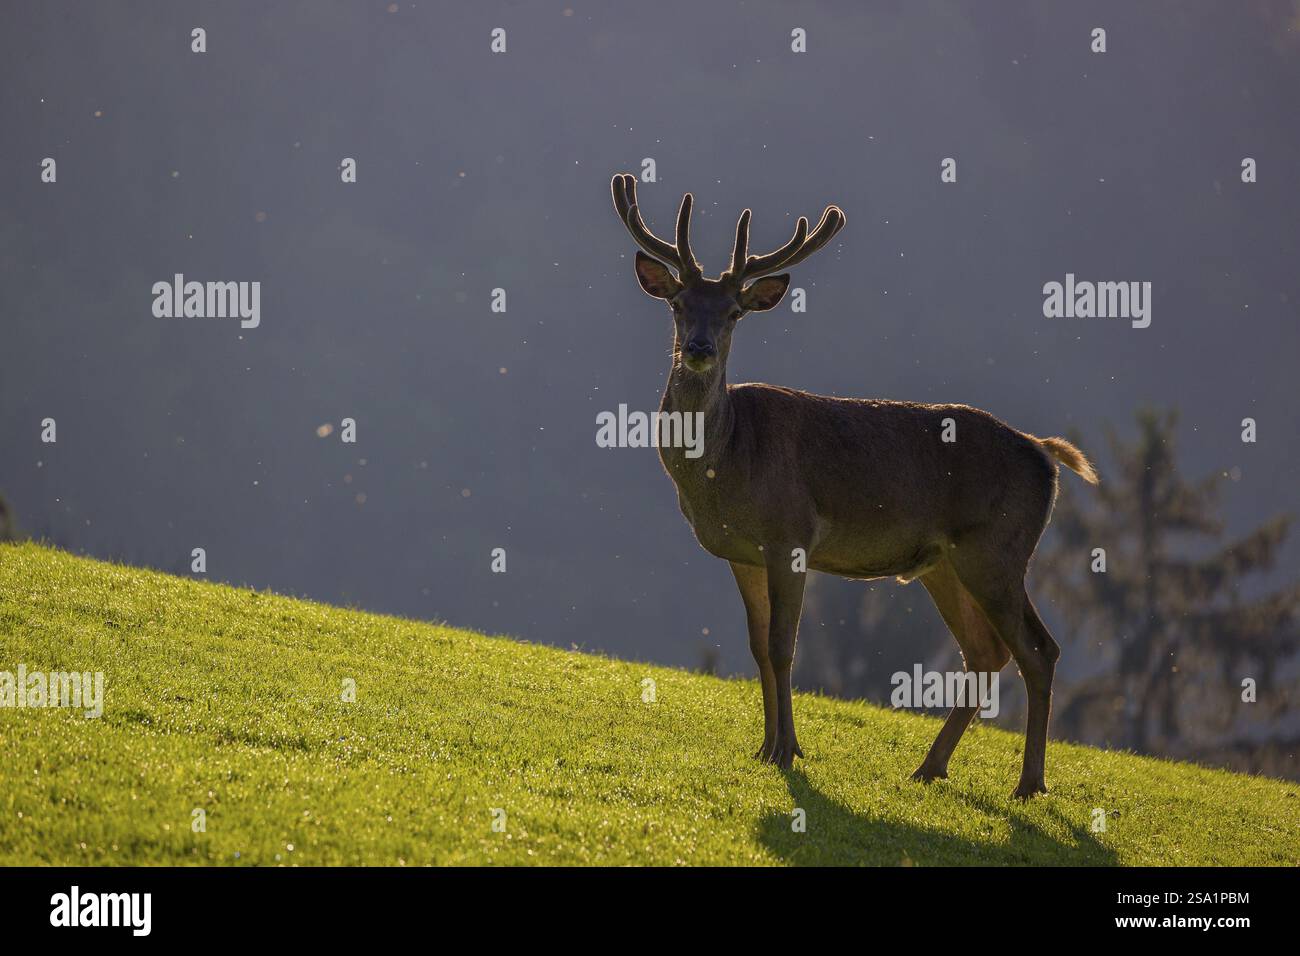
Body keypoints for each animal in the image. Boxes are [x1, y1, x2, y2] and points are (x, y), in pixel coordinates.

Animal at [610, 173, 1099, 799]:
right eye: (678, 304)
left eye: (735, 312)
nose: (698, 348)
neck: (728, 462)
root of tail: (1046, 455)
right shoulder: (742, 553)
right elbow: (757, 648)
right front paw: (763, 748)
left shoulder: (790, 534)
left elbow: (782, 646)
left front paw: (789, 750)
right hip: (946, 562)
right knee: (986, 653)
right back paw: (929, 767)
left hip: (999, 548)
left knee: (1039, 651)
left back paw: (1029, 784)